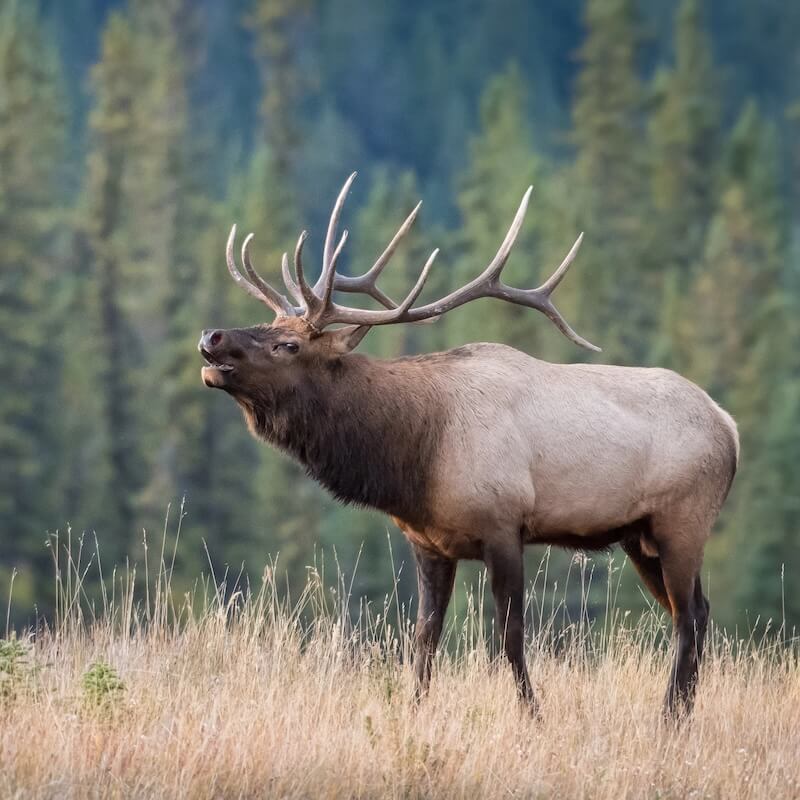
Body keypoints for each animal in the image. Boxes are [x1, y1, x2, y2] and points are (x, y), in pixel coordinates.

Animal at [198, 172, 739, 718]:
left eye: (287, 345)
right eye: (270, 327)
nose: (212, 336)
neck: (416, 454)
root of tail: (730, 427)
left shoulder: (504, 526)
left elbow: (510, 636)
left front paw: (532, 715)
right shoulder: (428, 541)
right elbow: (424, 636)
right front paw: (414, 710)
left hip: (683, 521)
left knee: (689, 617)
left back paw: (670, 717)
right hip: (638, 536)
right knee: (697, 612)